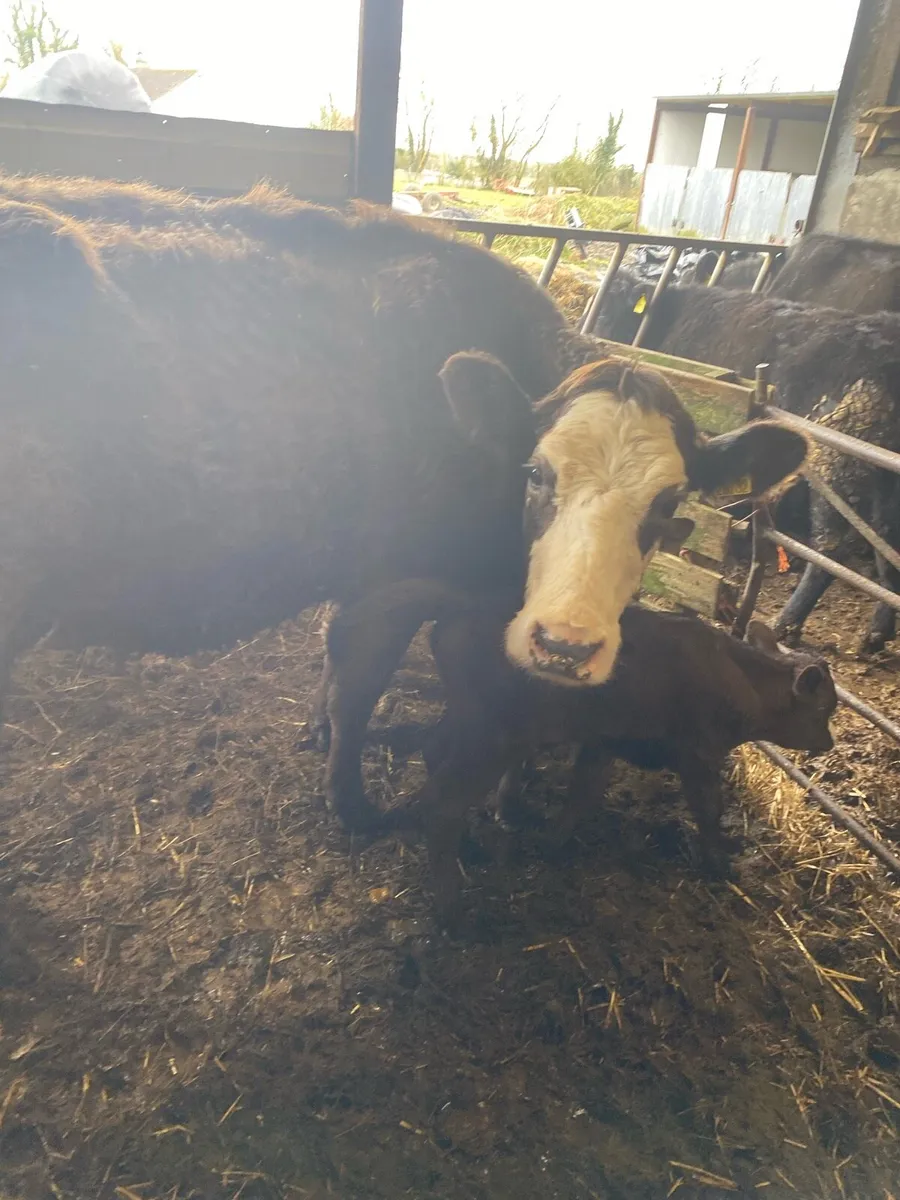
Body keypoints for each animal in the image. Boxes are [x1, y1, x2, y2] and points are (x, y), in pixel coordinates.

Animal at [0, 195, 805, 837]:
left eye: (668, 503)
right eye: (534, 473)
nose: (567, 645)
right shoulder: (393, 584)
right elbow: (357, 682)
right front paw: (351, 804)